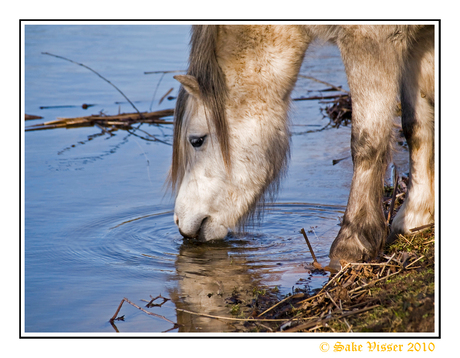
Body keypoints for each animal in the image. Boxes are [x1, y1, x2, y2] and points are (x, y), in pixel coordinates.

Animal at [169, 24, 434, 272]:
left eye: (196, 140)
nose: (180, 222)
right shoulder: (421, 41)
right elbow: (416, 126)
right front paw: (415, 216)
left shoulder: (369, 40)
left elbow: (367, 141)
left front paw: (352, 242)